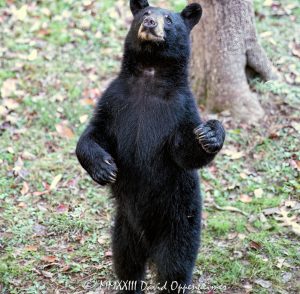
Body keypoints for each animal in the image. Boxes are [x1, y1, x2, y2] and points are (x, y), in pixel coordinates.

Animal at [76, 1, 224, 292]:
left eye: (169, 19)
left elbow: (184, 152)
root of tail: (149, 244)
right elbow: (93, 134)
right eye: (145, 14)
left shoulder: (180, 109)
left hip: (180, 222)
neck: (150, 75)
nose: (150, 23)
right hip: (124, 228)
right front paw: (103, 168)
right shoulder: (115, 101)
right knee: (126, 264)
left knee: (175, 268)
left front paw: (211, 133)